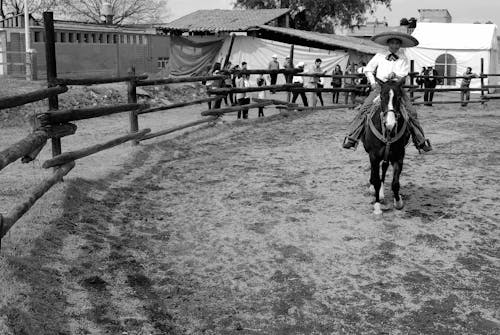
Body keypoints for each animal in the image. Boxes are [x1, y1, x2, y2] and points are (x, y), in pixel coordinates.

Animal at [364, 79, 410, 215]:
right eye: (382, 97)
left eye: (399, 97)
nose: (390, 124)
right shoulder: (373, 156)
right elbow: (376, 180)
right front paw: (377, 206)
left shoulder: (399, 156)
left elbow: (395, 183)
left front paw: (398, 202)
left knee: (384, 169)